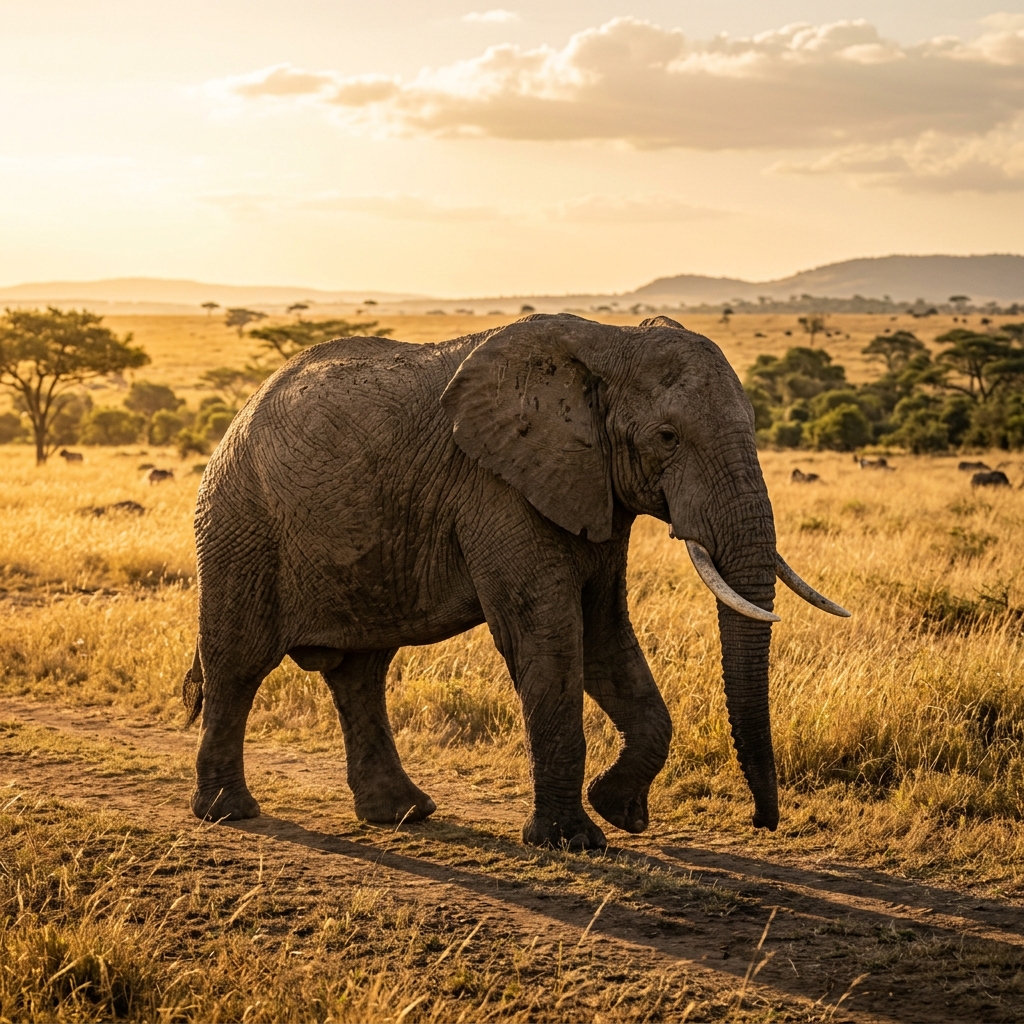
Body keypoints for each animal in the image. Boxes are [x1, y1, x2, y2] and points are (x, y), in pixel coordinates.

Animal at [182, 313, 848, 849]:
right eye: (667, 437)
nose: (762, 822)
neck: (610, 343)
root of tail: (241, 412)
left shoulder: (591, 488)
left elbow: (604, 634)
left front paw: (620, 812)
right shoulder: (499, 488)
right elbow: (546, 636)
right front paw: (572, 842)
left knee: (360, 672)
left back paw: (403, 814)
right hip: (240, 523)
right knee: (238, 663)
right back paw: (228, 814)